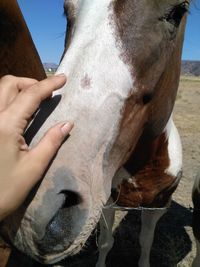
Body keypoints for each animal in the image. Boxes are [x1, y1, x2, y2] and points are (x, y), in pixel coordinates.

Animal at [0, 0, 189, 267]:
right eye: (66, 10)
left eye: (177, 11)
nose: (33, 206)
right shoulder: (107, 203)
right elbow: (106, 242)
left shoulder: (157, 206)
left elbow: (145, 243)